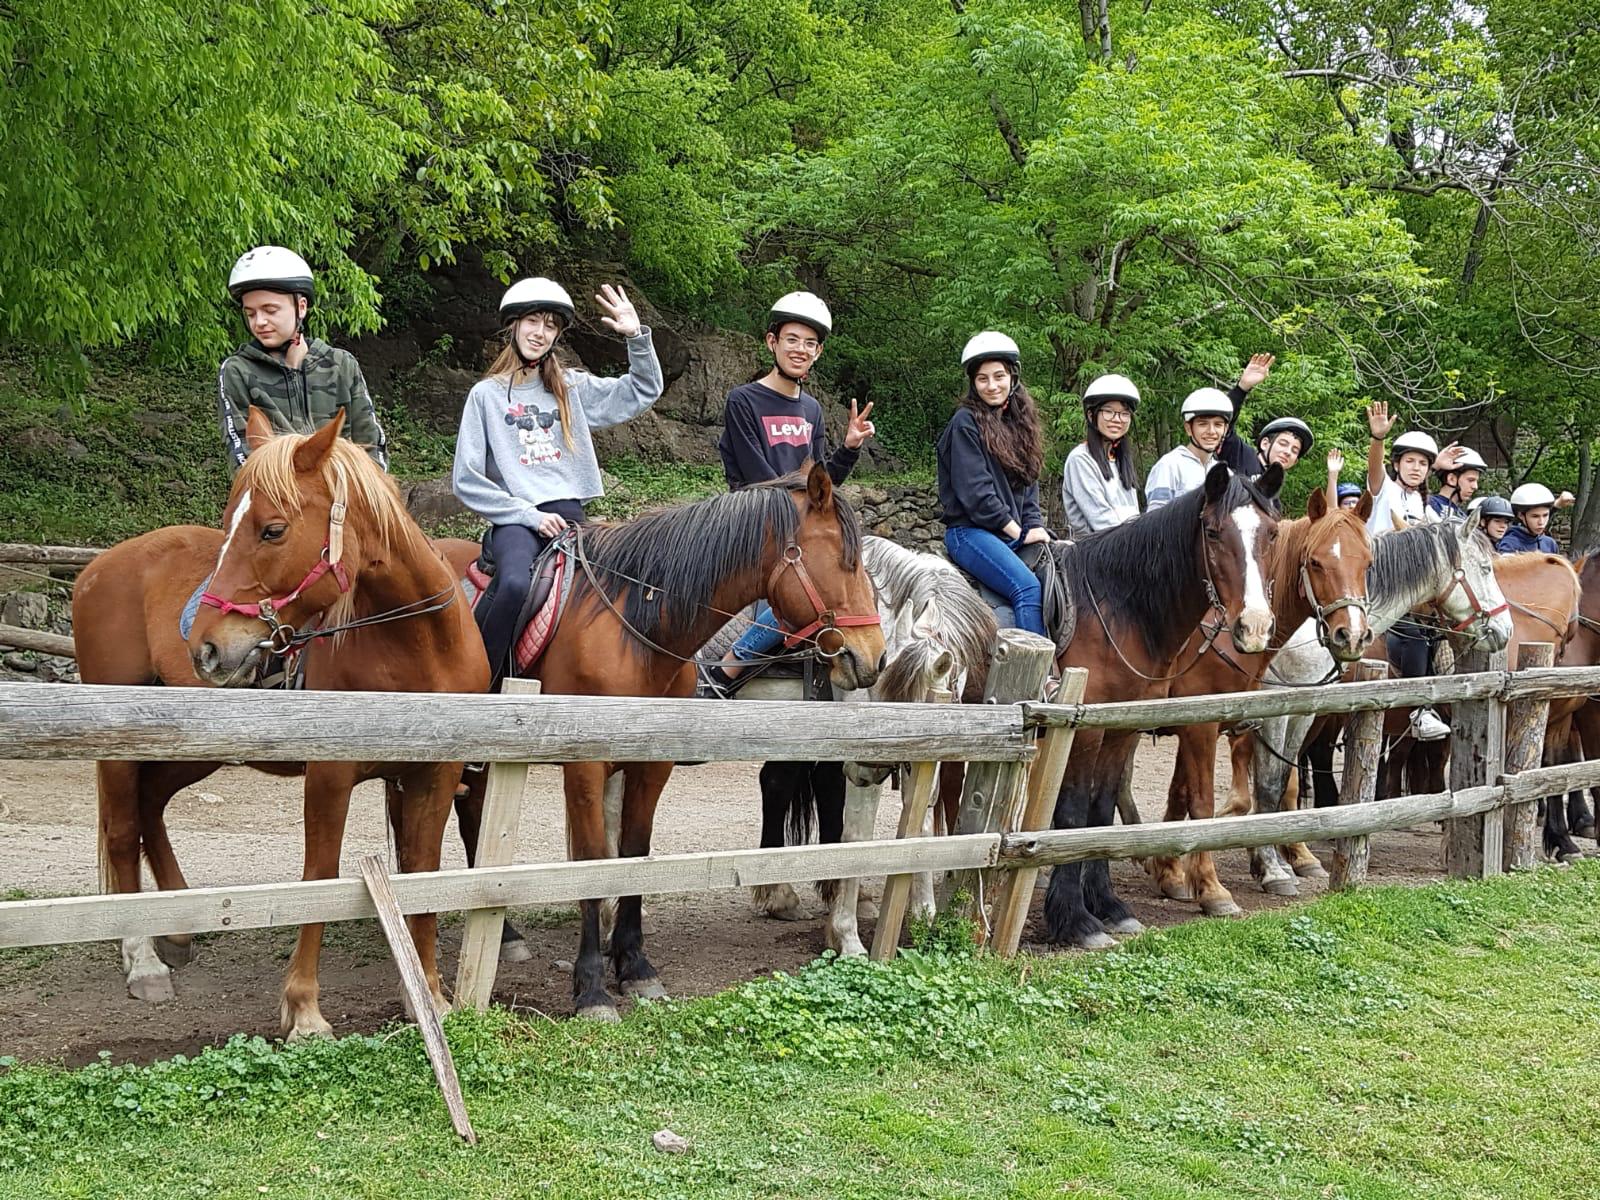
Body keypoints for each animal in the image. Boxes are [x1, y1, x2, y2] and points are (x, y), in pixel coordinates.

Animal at [76, 409, 486, 1036]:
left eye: (271, 530)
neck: (418, 647)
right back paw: (142, 958)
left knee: (149, 808)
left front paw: (430, 994)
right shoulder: (330, 775)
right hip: (123, 743)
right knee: (123, 830)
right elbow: (319, 877)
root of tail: (95, 568)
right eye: (228, 526)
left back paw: (176, 929)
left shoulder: (434, 775)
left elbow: (425, 872)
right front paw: (305, 1009)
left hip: (193, 753)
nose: (206, 649)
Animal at [457, 464, 889, 1017]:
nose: (873, 656)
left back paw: (508, 933)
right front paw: (592, 988)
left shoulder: (652, 763)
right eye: (844, 561)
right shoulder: (585, 765)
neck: (635, 630)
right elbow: (592, 861)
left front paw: (636, 968)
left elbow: (634, 853)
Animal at [1036, 460, 1286, 947]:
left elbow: (1099, 810)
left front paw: (1109, 907)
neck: (1119, 609)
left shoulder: (1123, 728)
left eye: (1271, 533)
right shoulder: (1087, 730)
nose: (1253, 626)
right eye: (1213, 532)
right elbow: (1072, 812)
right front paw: (1075, 920)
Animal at [1145, 483, 1382, 915]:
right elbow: (1217, 798)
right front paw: (1226, 884)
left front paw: (1170, 871)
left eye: (1367, 563)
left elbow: (1188, 792)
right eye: (1316, 562)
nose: (1352, 635)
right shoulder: (1208, 724)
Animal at [1235, 518, 1510, 896]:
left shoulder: (1304, 711)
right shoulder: (1275, 710)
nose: (1505, 628)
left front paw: (1274, 860)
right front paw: (1272, 868)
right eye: (1485, 569)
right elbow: (1269, 783)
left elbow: (1281, 778)